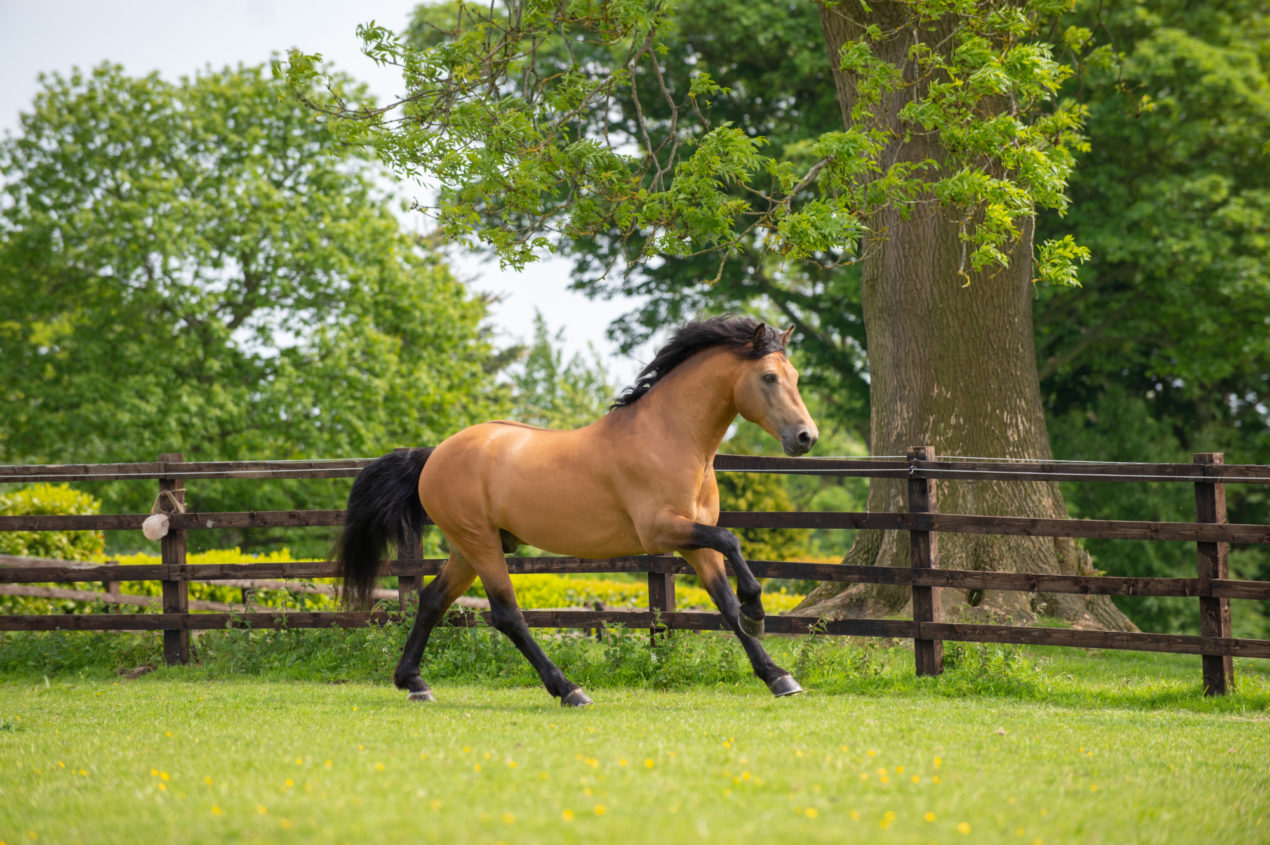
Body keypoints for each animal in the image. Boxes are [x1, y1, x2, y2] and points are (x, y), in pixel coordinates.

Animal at [332, 312, 817, 701]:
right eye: (769, 378)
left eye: (795, 377)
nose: (806, 438)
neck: (669, 438)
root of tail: (435, 455)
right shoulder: (661, 531)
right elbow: (732, 541)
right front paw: (758, 613)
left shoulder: (693, 543)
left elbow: (725, 604)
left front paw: (778, 675)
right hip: (481, 544)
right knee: (507, 614)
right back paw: (568, 689)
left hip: (467, 548)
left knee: (432, 600)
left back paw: (413, 683)